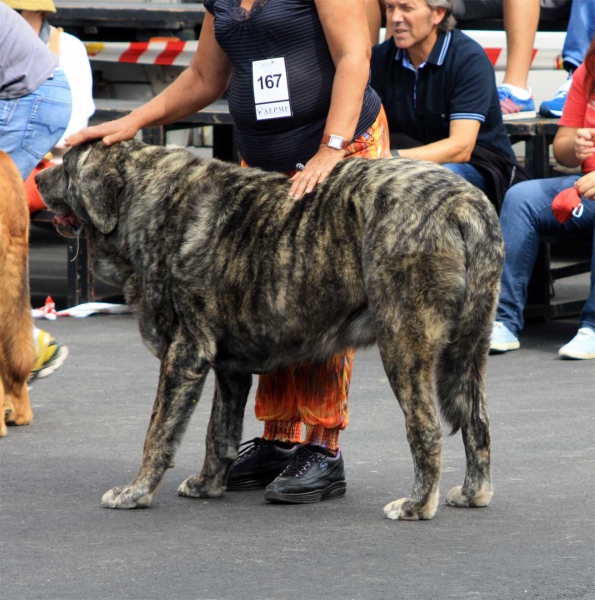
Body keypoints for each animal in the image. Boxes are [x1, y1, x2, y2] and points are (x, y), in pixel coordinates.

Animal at [36, 141, 502, 520]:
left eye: (67, 166)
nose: (38, 176)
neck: (144, 200)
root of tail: (465, 202)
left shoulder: (184, 356)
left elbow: (158, 433)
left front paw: (135, 492)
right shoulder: (229, 368)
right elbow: (219, 432)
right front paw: (208, 484)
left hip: (404, 342)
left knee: (425, 427)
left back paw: (417, 505)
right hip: (469, 347)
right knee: (477, 419)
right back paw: (473, 493)